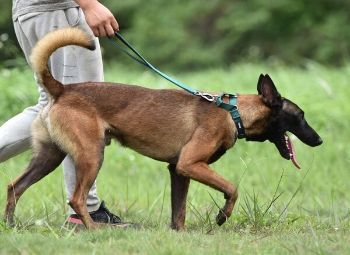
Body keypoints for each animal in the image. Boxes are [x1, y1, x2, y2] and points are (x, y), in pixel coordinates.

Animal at [3, 27, 322, 229]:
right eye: (300, 116)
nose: (319, 140)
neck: (233, 113)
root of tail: (63, 89)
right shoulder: (190, 164)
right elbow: (232, 188)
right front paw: (222, 217)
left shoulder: (177, 171)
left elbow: (178, 212)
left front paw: (178, 234)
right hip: (91, 155)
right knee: (76, 198)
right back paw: (93, 228)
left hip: (50, 156)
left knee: (15, 186)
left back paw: (10, 224)